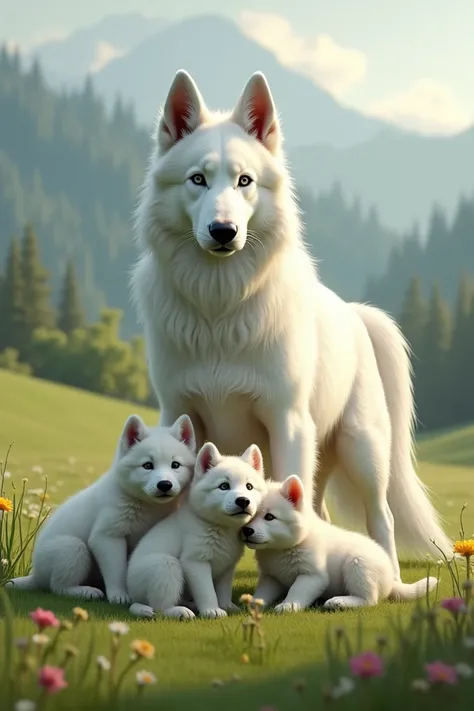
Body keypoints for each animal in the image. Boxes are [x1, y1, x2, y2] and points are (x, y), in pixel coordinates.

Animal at [9, 414, 195, 604]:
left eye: (175, 465)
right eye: (147, 465)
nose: (165, 485)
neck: (146, 505)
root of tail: (35, 575)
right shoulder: (107, 536)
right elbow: (117, 570)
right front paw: (119, 595)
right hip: (72, 548)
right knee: (58, 587)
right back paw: (86, 592)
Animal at [126, 442, 266, 620]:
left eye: (249, 487)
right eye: (224, 486)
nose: (243, 501)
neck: (218, 527)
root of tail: (131, 593)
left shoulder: (227, 566)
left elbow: (223, 591)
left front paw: (227, 606)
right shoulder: (195, 562)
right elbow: (207, 591)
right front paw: (212, 610)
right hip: (165, 565)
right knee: (159, 608)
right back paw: (178, 611)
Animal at [131, 68, 450, 580]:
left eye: (245, 181)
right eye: (197, 179)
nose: (224, 232)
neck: (222, 305)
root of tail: (353, 312)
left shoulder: (287, 423)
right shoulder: (180, 411)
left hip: (364, 451)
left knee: (380, 516)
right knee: (319, 512)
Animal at [243, 472, 438, 612]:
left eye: (269, 517)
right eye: (250, 516)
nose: (247, 531)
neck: (282, 549)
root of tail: (391, 580)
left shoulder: (313, 576)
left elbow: (297, 590)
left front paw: (288, 605)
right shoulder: (272, 578)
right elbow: (262, 593)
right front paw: (253, 603)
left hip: (358, 564)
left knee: (369, 599)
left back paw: (339, 602)